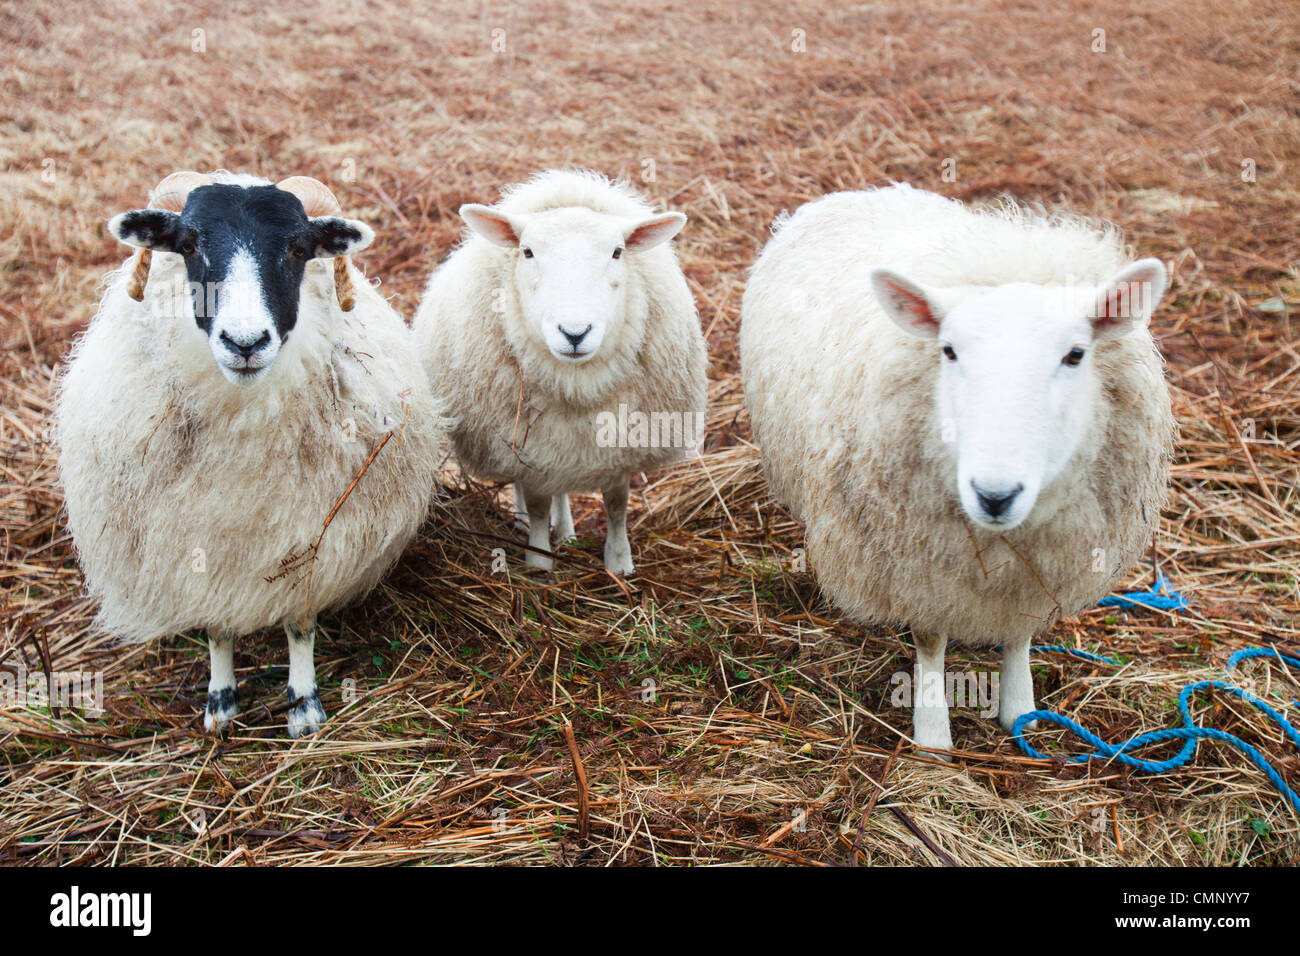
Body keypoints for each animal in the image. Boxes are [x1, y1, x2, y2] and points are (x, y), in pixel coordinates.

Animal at [413, 170, 702, 574]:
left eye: (617, 252)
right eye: (527, 251)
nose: (575, 333)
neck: (576, 383)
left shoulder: (619, 448)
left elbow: (617, 505)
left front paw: (620, 563)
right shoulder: (530, 446)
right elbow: (537, 506)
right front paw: (538, 562)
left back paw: (566, 532)